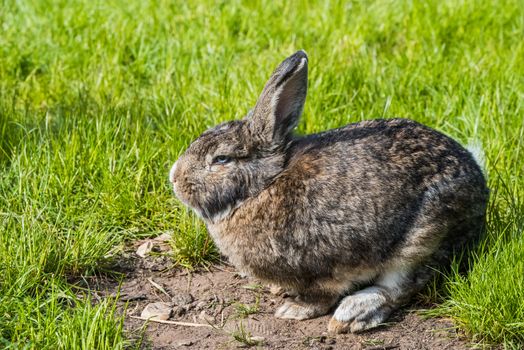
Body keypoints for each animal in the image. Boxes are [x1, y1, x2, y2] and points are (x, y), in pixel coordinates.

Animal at [170, 50, 490, 332]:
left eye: (221, 159)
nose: (174, 177)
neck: (264, 186)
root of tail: (478, 188)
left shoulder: (326, 267)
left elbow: (322, 294)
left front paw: (294, 310)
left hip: (422, 238)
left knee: (403, 285)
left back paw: (355, 313)